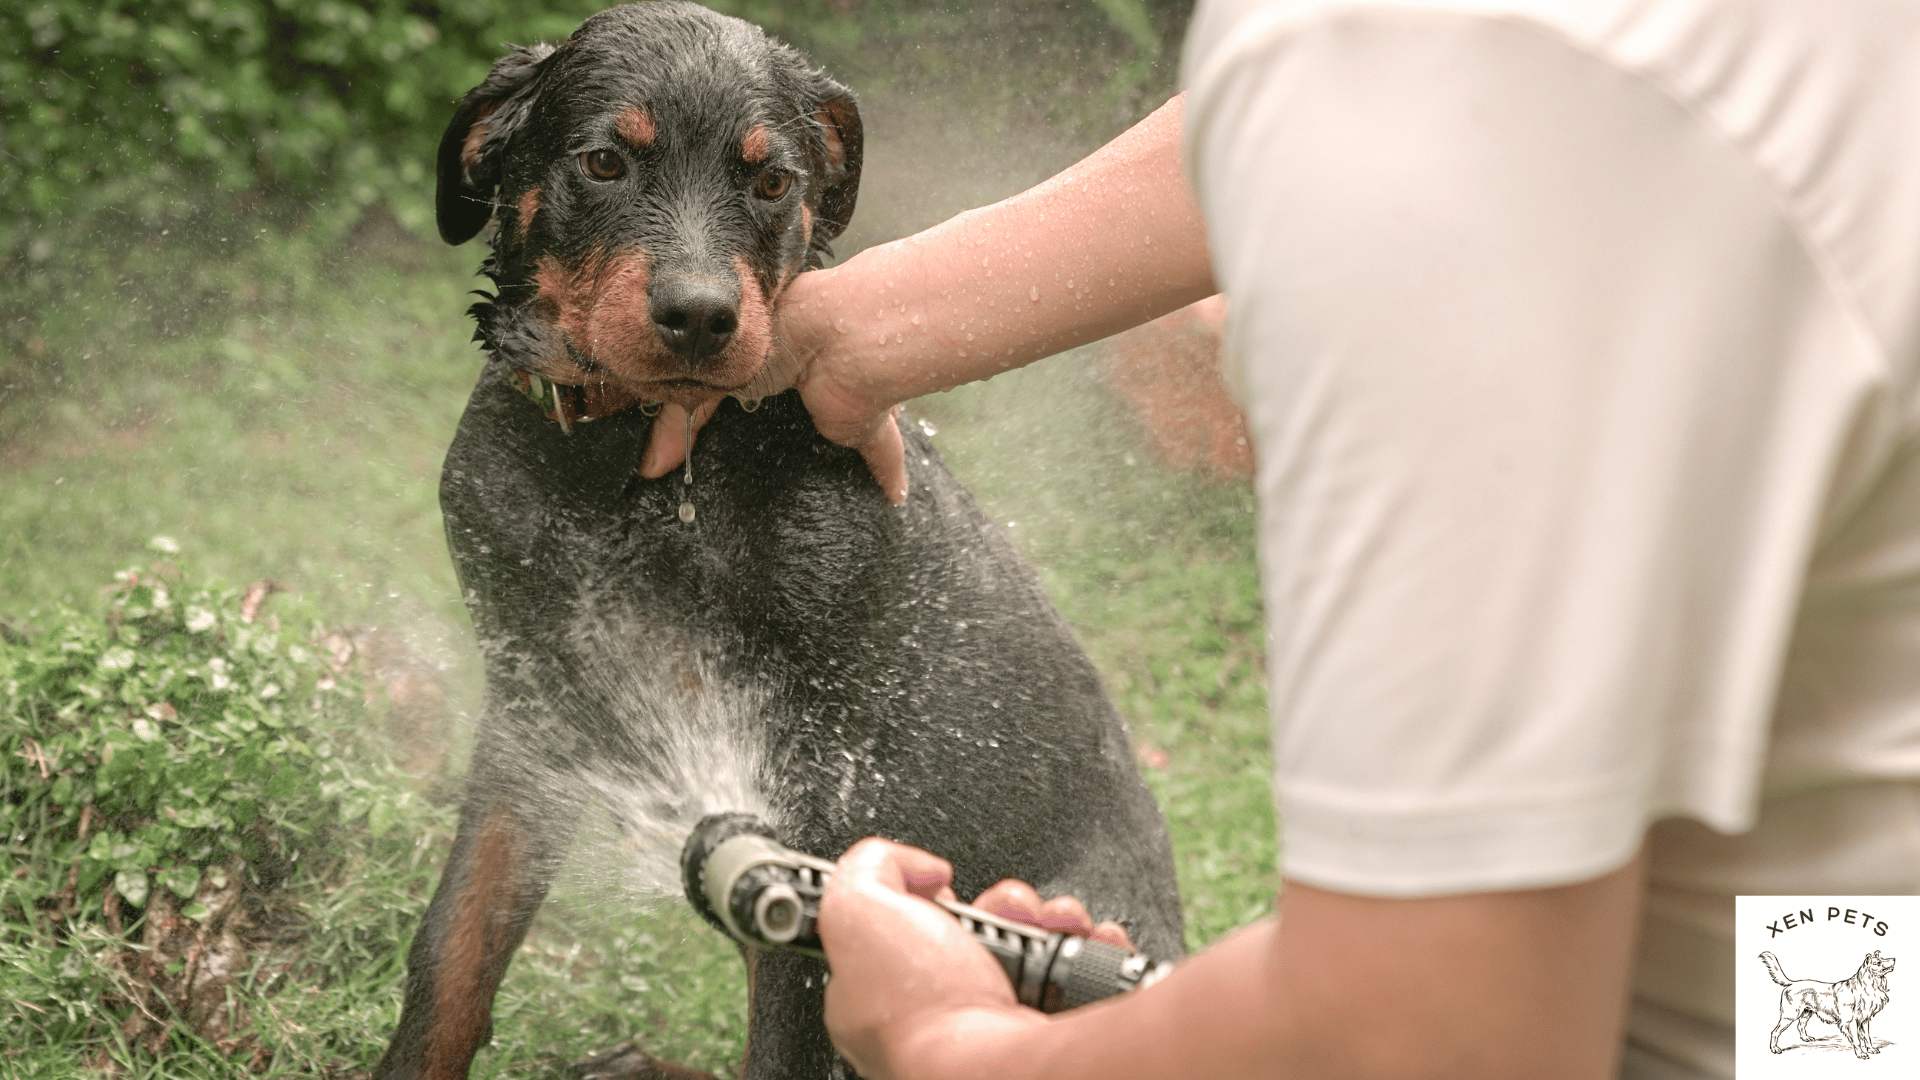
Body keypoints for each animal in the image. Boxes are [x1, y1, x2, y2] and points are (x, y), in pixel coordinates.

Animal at [370, 4, 1182, 1068]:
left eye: (771, 183)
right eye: (603, 163)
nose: (701, 316)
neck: (633, 471)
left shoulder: (817, 783)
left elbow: (786, 1037)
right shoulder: (534, 705)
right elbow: (455, 950)